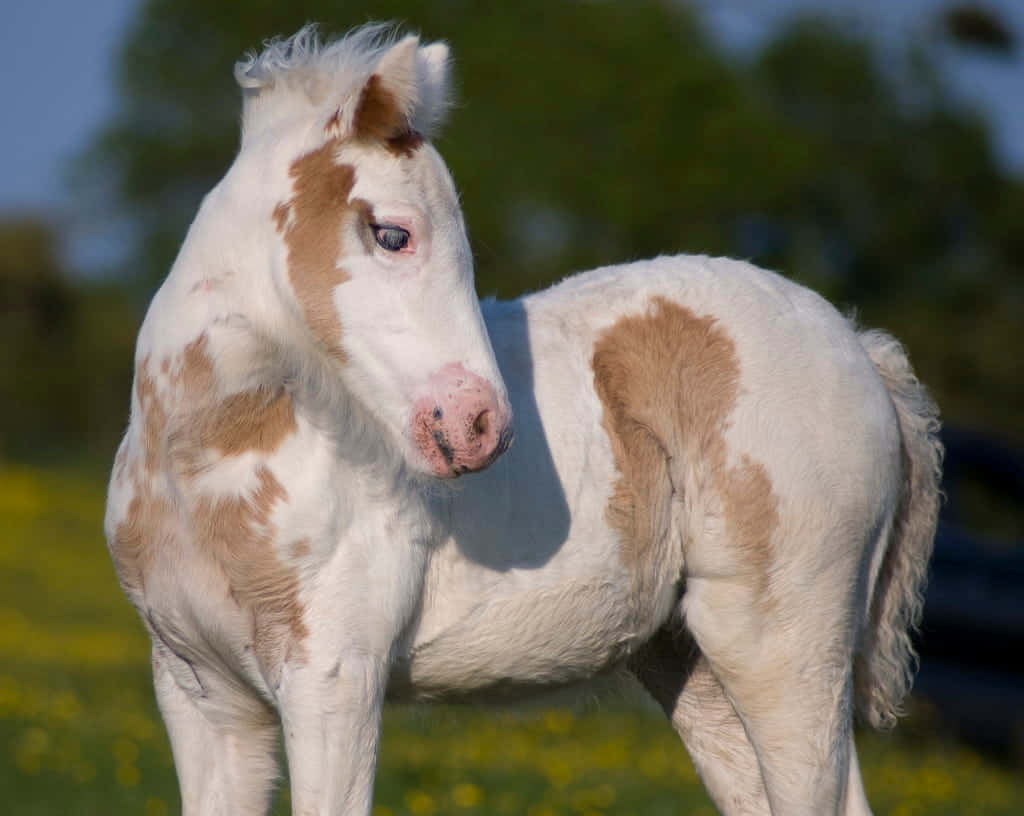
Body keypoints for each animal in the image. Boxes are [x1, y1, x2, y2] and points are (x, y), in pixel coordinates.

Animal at [104, 24, 942, 816]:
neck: (203, 464)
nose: (481, 425)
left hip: (786, 645)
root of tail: (861, 349)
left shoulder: (334, 678)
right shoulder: (200, 694)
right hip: (694, 661)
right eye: (392, 233)